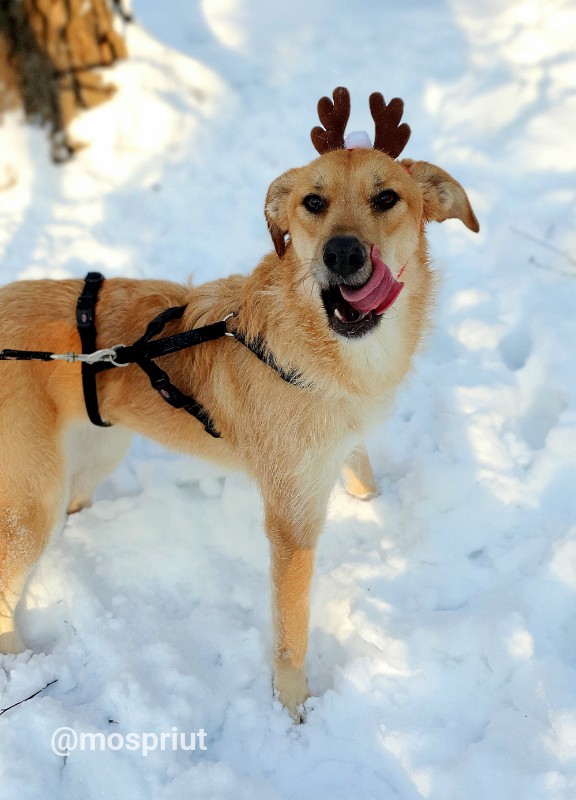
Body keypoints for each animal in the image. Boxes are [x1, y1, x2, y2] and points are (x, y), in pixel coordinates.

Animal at [0, 87, 476, 720]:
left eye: (387, 198)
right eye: (313, 202)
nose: (343, 254)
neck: (325, 351)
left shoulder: (344, 445)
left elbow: (365, 475)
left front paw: (381, 508)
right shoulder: (292, 521)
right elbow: (291, 631)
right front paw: (294, 709)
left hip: (99, 450)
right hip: (33, 499)